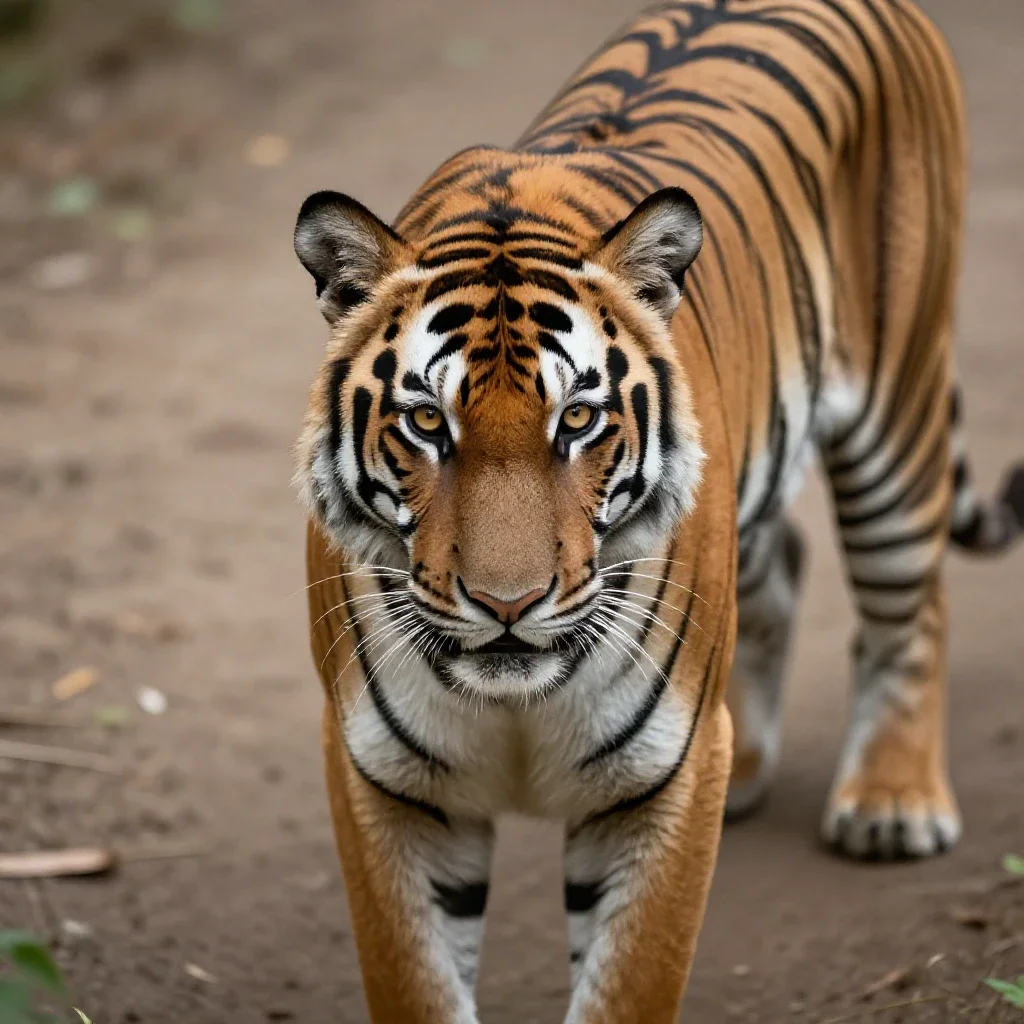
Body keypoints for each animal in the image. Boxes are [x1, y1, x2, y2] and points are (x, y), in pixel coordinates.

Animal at [294, 1, 1024, 1021]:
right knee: (785, 564)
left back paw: (891, 803)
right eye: (427, 422)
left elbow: (630, 983)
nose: (508, 605)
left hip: (899, 400)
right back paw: (751, 769)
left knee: (910, 600)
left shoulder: (661, 780)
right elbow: (415, 984)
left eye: (579, 419)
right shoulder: (385, 782)